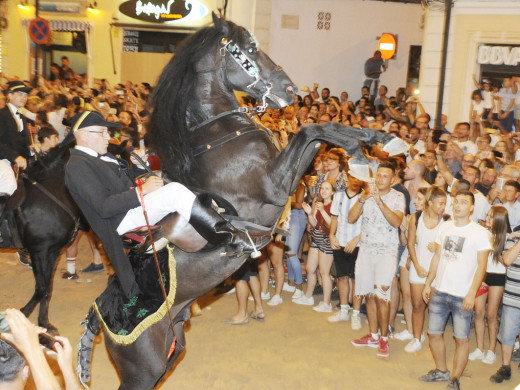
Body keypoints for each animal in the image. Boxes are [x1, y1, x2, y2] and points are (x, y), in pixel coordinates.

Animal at [79, 12, 408, 390]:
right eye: (250, 48)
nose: (290, 90)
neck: (216, 136)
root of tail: (97, 315)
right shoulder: (274, 185)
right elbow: (311, 129)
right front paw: (362, 156)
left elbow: (323, 128)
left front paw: (381, 140)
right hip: (142, 368)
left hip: (168, 352)